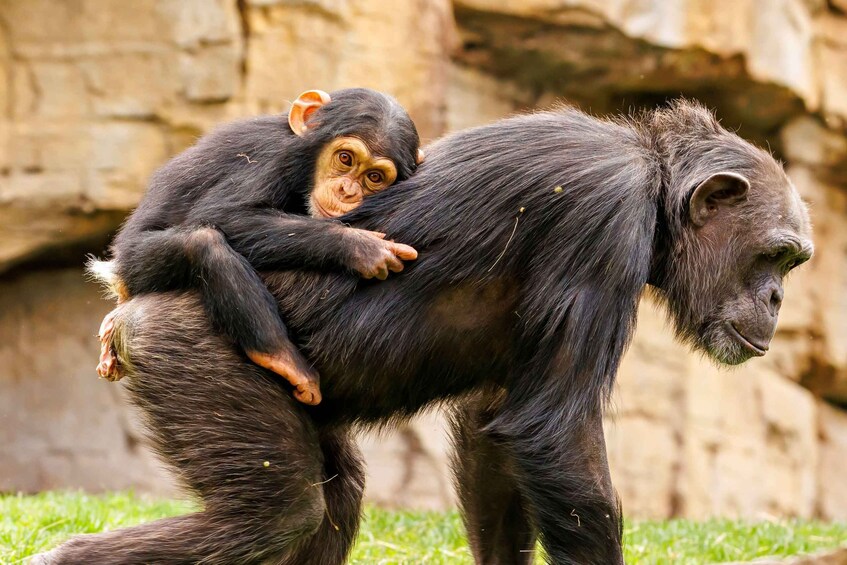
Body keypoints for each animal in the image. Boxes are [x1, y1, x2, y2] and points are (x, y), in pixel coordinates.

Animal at [90, 88, 423, 405]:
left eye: (374, 177)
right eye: (345, 159)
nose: (347, 190)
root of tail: (116, 275)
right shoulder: (270, 159)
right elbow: (224, 214)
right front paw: (361, 247)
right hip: (135, 262)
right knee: (205, 244)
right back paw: (281, 357)